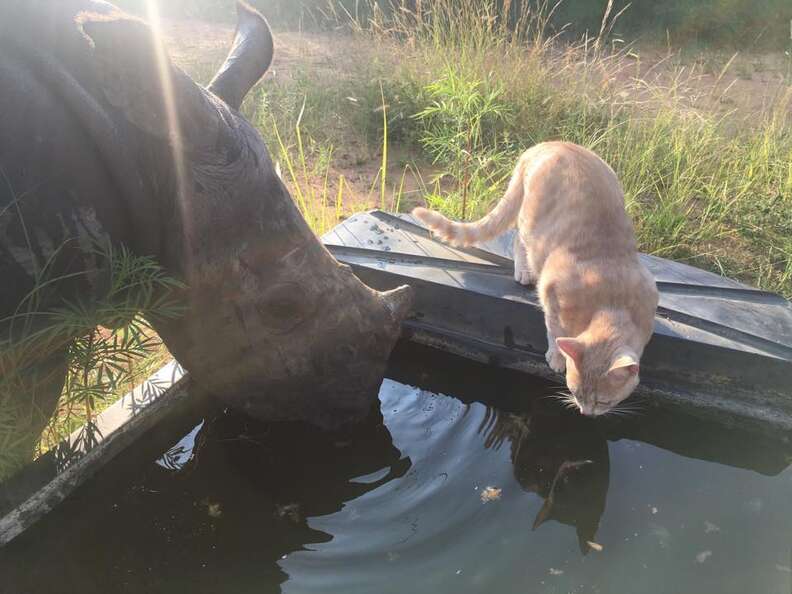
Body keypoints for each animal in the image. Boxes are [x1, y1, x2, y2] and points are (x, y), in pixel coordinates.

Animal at [412, 140, 660, 414]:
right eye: (575, 392)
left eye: (604, 401)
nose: (585, 412)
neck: (612, 304)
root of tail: (550, 143)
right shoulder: (552, 291)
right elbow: (553, 329)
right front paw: (557, 356)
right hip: (530, 223)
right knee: (517, 240)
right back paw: (523, 270)